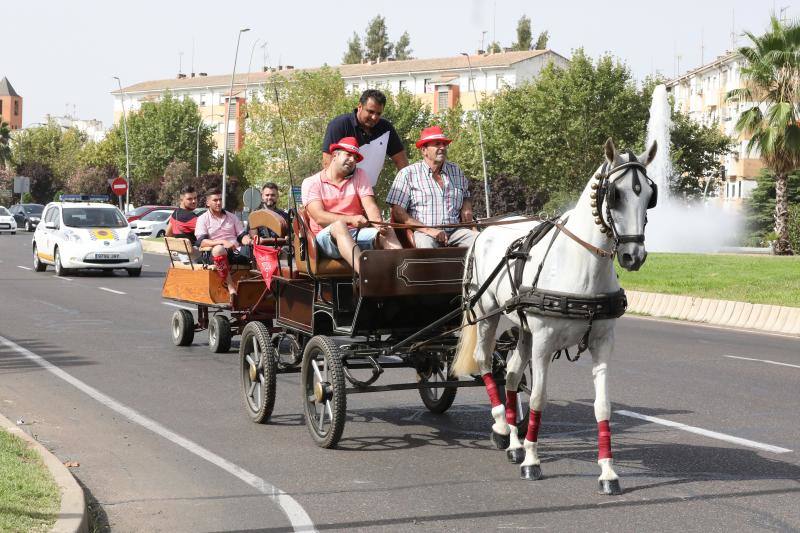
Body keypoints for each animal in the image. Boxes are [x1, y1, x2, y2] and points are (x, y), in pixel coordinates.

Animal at [454, 138, 660, 494]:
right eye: (615, 194)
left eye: (649, 194)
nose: (633, 256)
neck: (581, 265)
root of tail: (483, 230)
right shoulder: (544, 342)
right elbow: (538, 398)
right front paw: (532, 461)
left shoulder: (602, 343)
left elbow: (602, 405)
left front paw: (608, 471)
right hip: (486, 314)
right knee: (484, 362)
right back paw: (500, 426)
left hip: (524, 330)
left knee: (511, 375)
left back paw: (514, 441)